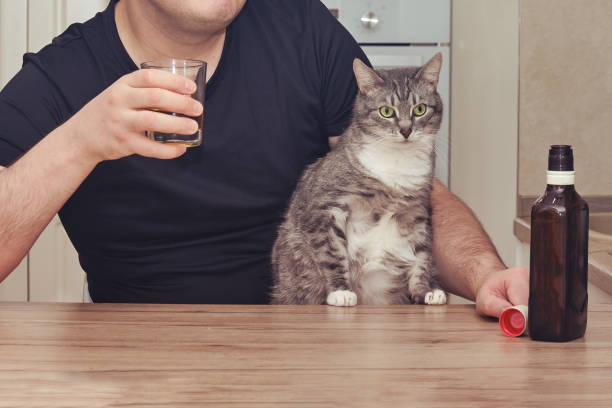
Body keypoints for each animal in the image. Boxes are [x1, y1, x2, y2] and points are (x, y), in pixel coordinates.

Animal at [270, 53, 448, 306]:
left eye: (420, 109)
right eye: (386, 111)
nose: (406, 130)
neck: (396, 164)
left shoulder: (417, 211)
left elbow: (421, 255)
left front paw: (425, 291)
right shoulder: (326, 207)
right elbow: (332, 253)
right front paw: (340, 291)